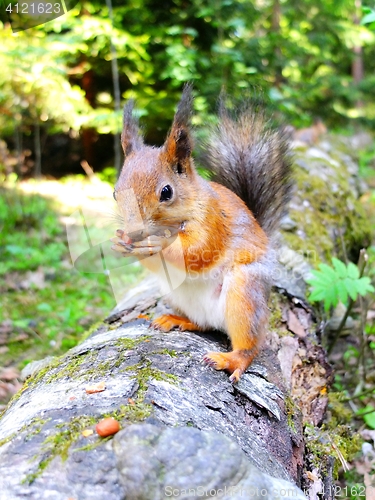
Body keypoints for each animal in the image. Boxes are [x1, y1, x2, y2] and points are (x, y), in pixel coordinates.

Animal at [111, 86, 294, 382]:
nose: (134, 231)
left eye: (166, 192)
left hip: (244, 293)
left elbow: (199, 251)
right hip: (174, 295)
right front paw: (121, 241)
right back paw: (177, 320)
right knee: (204, 325)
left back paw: (231, 359)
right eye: (115, 192)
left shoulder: (213, 219)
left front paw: (157, 243)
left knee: (250, 344)